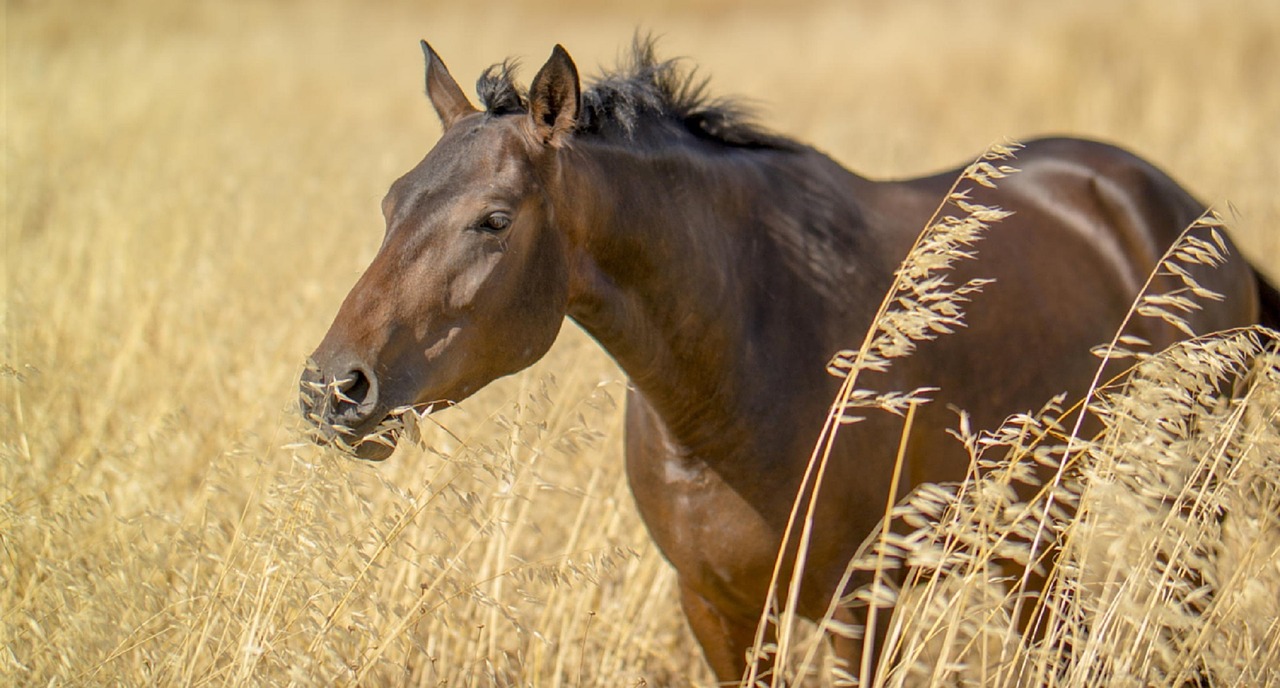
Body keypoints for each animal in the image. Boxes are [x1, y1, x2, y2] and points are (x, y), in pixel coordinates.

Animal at [302, 40, 1280, 680]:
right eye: (391, 203)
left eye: (494, 219)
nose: (333, 390)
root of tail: (1178, 209)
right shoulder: (719, 609)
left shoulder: (860, 606)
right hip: (1031, 534)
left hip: (1187, 510)